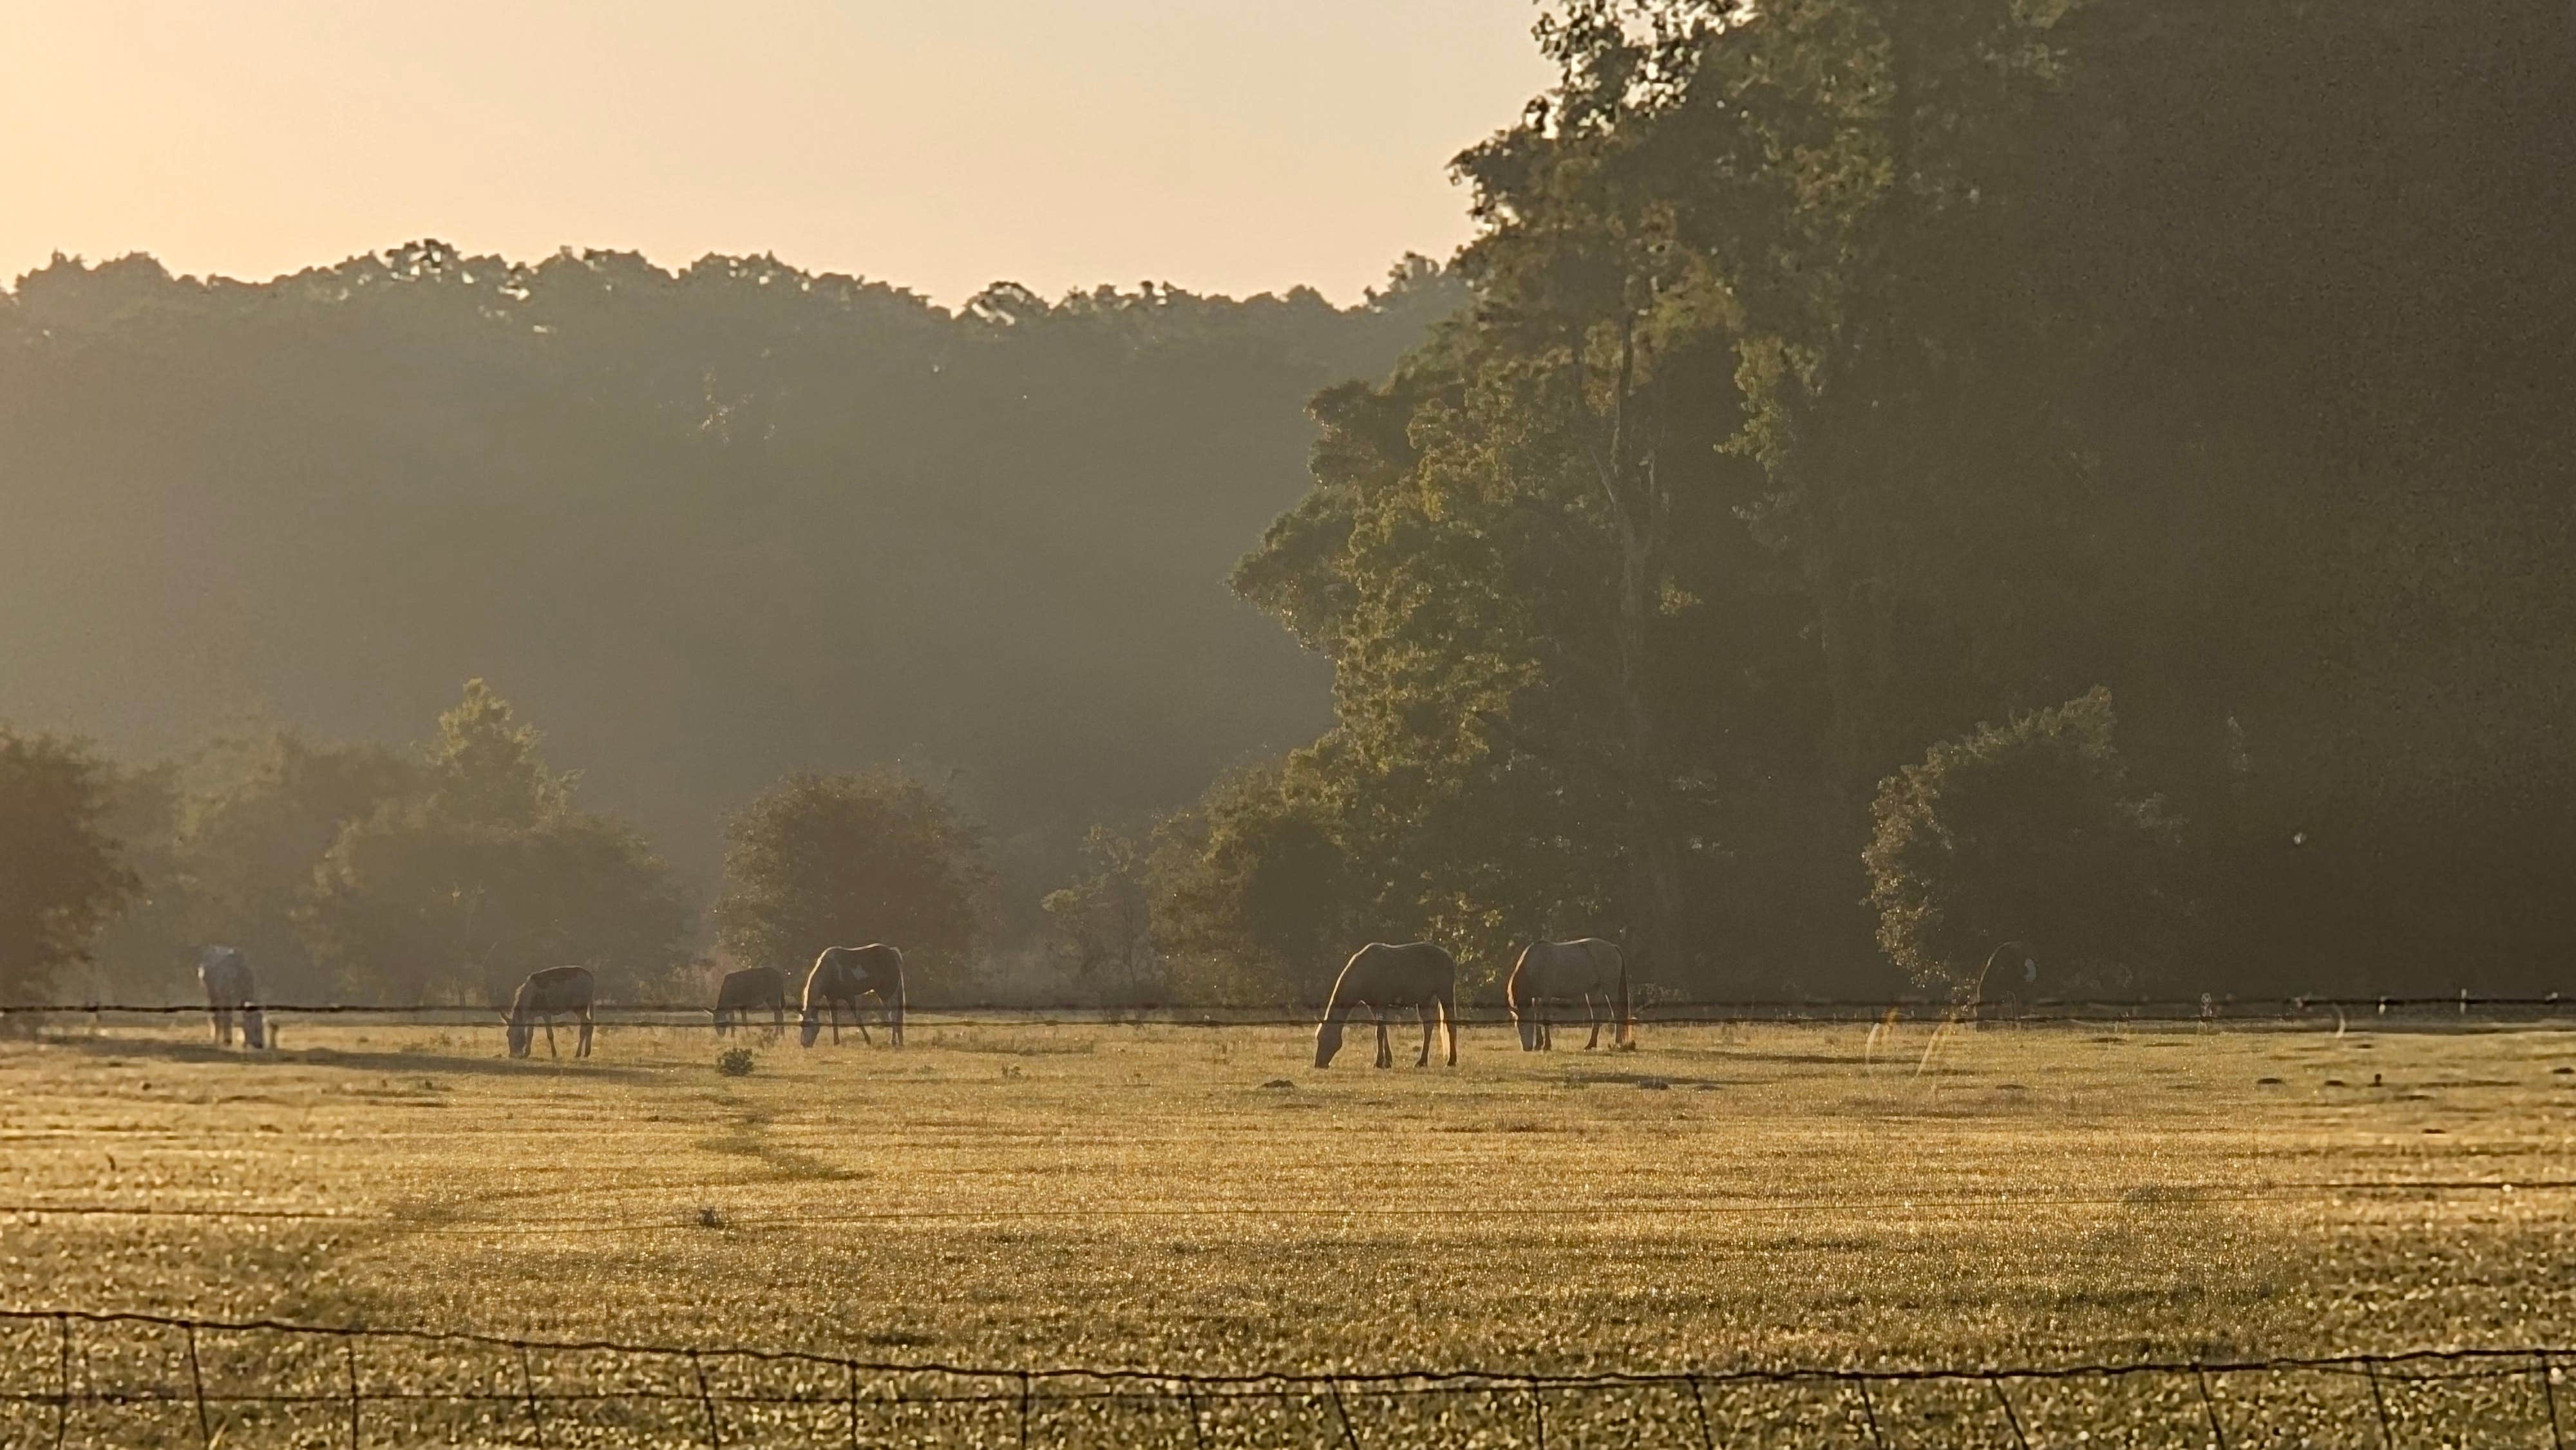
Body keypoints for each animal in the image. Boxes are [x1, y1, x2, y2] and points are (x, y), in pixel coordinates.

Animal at [195, 946, 266, 1049]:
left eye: (261, 1027)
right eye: (255, 1028)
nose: (260, 1045)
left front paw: (244, 1043)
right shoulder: (227, 998)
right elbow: (228, 1018)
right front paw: (228, 1041)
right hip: (213, 995)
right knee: (217, 1016)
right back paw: (217, 1038)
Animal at [504, 966, 595, 1059]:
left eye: (517, 1035)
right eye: (507, 1034)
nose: (512, 1055)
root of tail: (591, 978)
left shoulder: (546, 1013)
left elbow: (550, 1035)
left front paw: (554, 1053)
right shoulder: (532, 1016)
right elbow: (530, 1035)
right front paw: (527, 1053)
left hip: (580, 1007)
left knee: (586, 1025)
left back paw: (578, 1053)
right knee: (590, 1024)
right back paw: (587, 1052)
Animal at [799, 945, 905, 1047]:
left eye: (812, 1026)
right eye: (802, 1026)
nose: (805, 1044)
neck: (830, 970)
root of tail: (892, 952)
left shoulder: (849, 997)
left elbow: (858, 1019)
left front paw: (868, 1040)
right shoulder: (832, 999)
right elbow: (834, 1020)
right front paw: (836, 1042)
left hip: (886, 994)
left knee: (893, 1015)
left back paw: (893, 1041)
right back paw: (900, 1041)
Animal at [1315, 942, 1457, 1069]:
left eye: (1325, 1038)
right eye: (1318, 1038)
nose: (1318, 1064)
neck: (1364, 972)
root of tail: (1449, 957)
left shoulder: (1382, 1005)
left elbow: (1379, 1033)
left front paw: (1379, 1063)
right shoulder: (1374, 1007)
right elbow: (1383, 1032)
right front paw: (1387, 1061)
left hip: (1445, 994)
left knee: (1450, 1026)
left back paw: (1451, 1061)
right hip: (1424, 1001)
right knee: (1428, 1028)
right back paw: (1422, 1062)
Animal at [1505, 938, 1631, 1051]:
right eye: (1517, 1025)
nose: (1526, 1048)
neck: (1536, 965)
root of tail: (1614, 947)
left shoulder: (1546, 996)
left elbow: (1545, 1019)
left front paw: (1547, 1046)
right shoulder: (1536, 997)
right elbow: (1537, 1017)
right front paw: (1539, 1044)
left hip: (1610, 989)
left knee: (1616, 1013)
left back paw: (1617, 1043)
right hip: (1592, 992)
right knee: (1596, 1016)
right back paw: (1590, 1045)